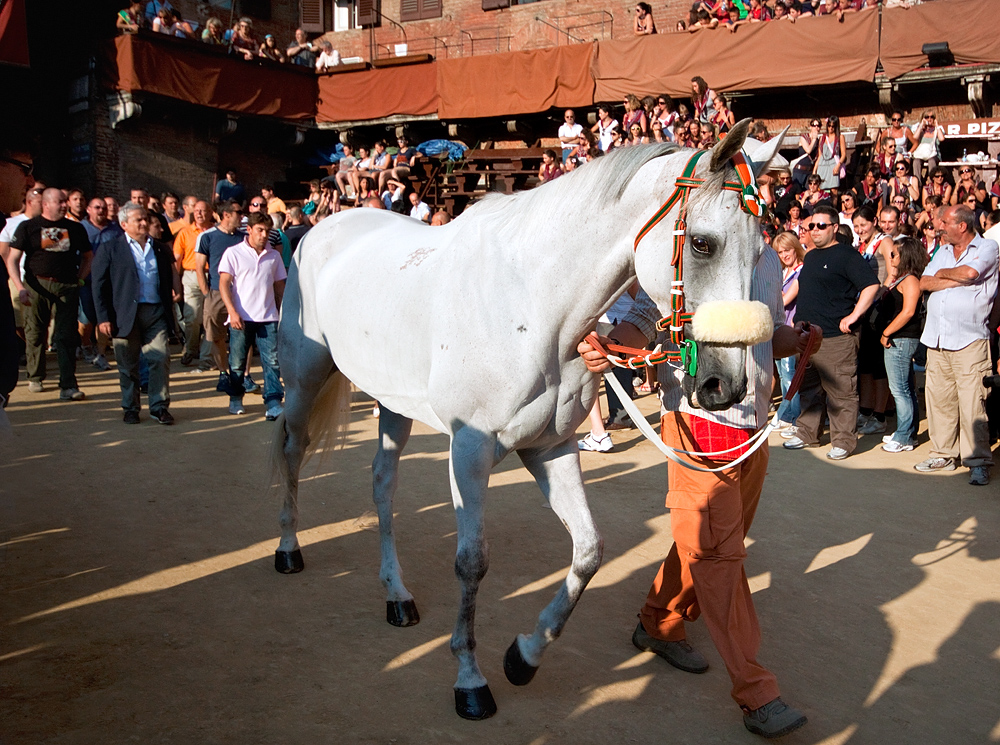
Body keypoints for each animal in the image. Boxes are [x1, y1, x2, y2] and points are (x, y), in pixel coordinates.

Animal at [272, 119, 780, 716]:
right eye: (702, 243)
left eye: (761, 251)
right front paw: (470, 679)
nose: (727, 386)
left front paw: (524, 656)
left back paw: (396, 594)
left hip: (394, 404)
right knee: (292, 452)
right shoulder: (468, 450)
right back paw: (288, 550)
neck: (534, 307)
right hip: (303, 380)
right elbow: (471, 562)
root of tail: (321, 228)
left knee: (382, 484)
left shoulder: (549, 447)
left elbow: (588, 551)